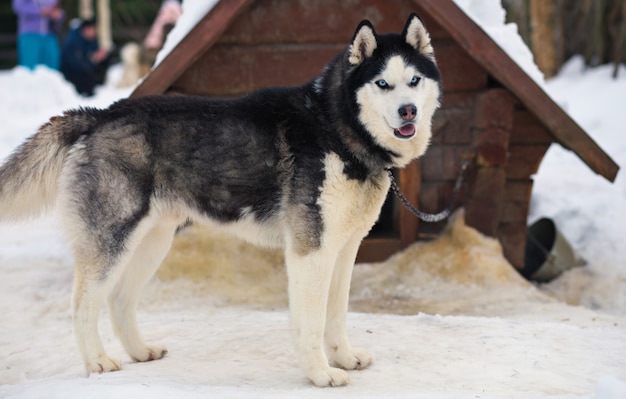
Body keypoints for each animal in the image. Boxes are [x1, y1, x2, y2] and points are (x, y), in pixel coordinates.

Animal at [0, 14, 438, 386]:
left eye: (414, 80)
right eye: (382, 83)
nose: (408, 111)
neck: (338, 127)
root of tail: (100, 114)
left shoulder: (344, 250)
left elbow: (336, 315)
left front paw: (343, 357)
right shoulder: (310, 251)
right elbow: (311, 322)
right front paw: (320, 374)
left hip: (153, 242)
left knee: (120, 301)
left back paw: (140, 352)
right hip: (112, 243)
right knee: (83, 305)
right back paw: (97, 362)